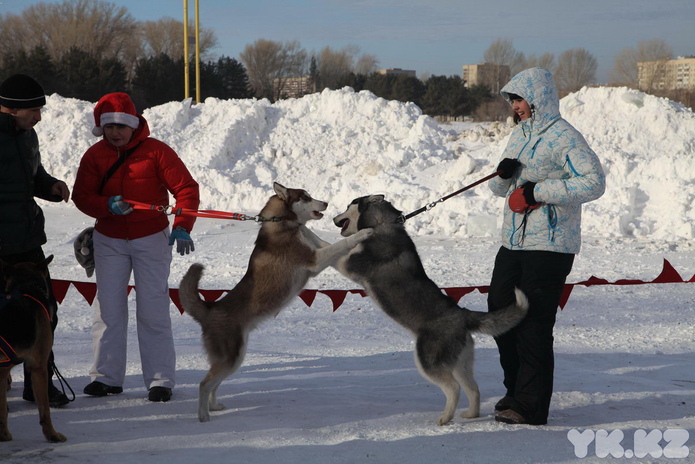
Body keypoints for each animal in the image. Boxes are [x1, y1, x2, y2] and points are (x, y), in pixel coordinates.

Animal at [0, 258, 66, 442]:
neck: (25, 286)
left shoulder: (2, 372)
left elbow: (2, 411)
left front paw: (3, 434)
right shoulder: (38, 367)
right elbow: (44, 410)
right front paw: (52, 434)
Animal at [179, 181, 376, 420]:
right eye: (306, 197)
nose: (326, 203)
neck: (282, 223)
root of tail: (210, 308)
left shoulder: (316, 248)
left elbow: (326, 240)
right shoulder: (315, 260)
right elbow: (341, 244)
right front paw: (364, 232)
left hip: (234, 359)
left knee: (214, 384)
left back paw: (214, 407)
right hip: (230, 358)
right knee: (204, 384)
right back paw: (203, 416)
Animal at [334, 195, 528, 424]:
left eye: (349, 205)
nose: (334, 218)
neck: (383, 225)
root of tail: (462, 315)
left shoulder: (348, 264)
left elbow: (329, 247)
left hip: (427, 360)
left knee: (453, 388)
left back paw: (445, 418)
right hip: (460, 363)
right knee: (473, 389)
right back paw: (471, 414)